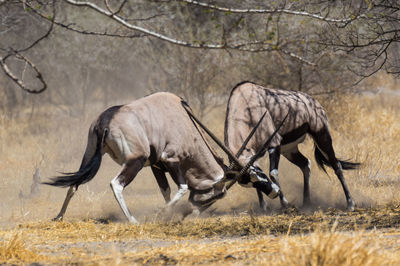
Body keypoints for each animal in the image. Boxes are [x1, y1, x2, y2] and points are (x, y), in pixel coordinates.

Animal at [44, 91, 282, 222]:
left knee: (75, 183)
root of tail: (106, 122)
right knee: (116, 184)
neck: (185, 121)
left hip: (90, 154)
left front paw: (169, 214)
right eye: (252, 178)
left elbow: (166, 190)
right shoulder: (171, 160)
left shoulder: (156, 165)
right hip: (135, 160)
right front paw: (163, 213)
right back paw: (132, 220)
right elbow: (182, 187)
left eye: (259, 171)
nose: (275, 191)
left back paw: (59, 216)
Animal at [225, 80, 360, 210]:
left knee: (336, 165)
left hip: (321, 136)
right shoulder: (256, 154)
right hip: (289, 150)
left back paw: (350, 203)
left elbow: (273, 173)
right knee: (305, 163)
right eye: (250, 183)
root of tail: (313, 101)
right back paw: (307, 202)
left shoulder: (274, 144)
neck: (245, 103)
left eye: (257, 173)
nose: (274, 192)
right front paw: (263, 206)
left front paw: (285, 203)